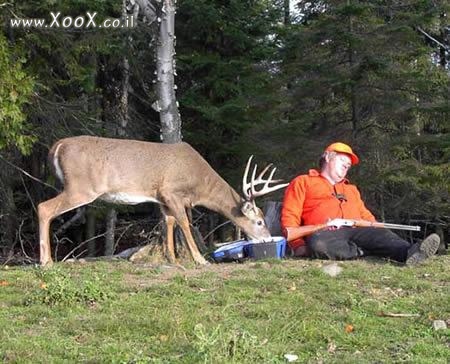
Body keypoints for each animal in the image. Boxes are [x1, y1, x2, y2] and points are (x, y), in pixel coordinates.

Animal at [37, 135, 288, 266]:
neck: (198, 184)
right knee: (43, 207)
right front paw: (200, 259)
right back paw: (46, 261)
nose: (267, 239)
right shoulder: (171, 191)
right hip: (81, 187)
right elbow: (185, 223)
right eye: (259, 221)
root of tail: (57, 146)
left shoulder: (162, 198)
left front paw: (172, 258)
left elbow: (169, 223)